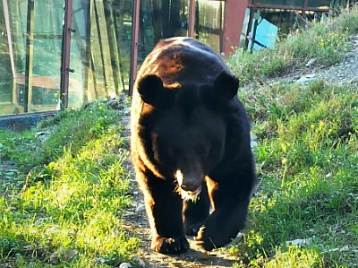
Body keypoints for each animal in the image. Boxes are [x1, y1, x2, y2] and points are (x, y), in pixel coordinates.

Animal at [130, 37, 256, 253]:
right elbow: (159, 190)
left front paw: (208, 235)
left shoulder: (232, 142)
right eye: (171, 151)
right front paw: (170, 241)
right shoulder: (147, 152)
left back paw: (196, 224)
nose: (189, 184)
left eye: (206, 149)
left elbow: (233, 179)